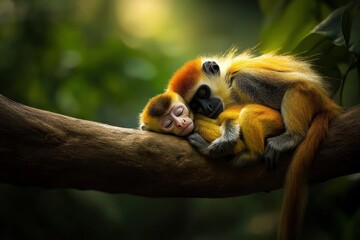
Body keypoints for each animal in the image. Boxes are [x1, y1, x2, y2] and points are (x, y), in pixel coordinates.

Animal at [139, 91, 282, 166]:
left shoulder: (198, 123)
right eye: (168, 123)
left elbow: (238, 143)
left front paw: (208, 149)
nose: (181, 123)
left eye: (179, 112)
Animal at [166, 49, 340, 240]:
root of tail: (326, 104)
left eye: (203, 93)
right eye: (195, 105)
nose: (207, 107)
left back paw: (290, 137)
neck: (229, 87)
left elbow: (299, 84)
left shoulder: (244, 79)